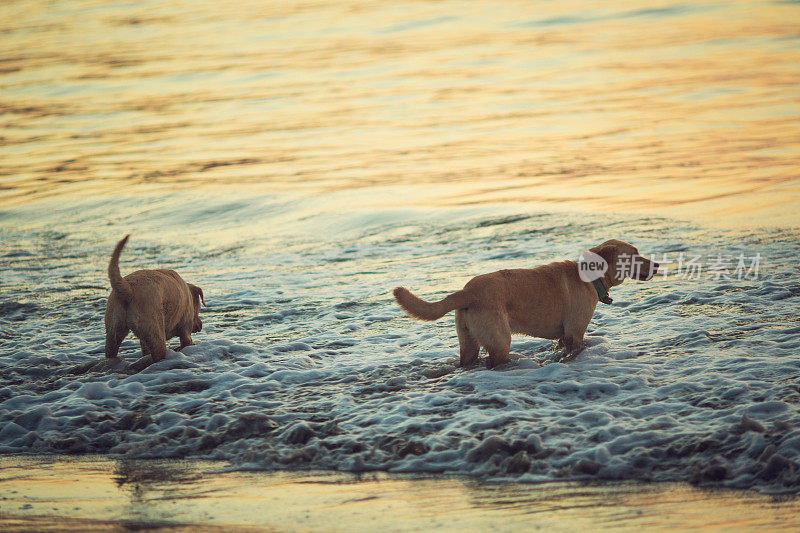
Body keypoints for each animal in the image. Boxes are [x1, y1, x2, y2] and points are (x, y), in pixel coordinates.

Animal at [104, 235, 205, 368]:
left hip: (113, 331)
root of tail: (129, 288)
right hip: (155, 330)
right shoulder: (185, 330)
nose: (201, 325)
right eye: (199, 309)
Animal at [390, 240, 660, 368]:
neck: (590, 277)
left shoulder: (563, 337)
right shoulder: (575, 334)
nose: (657, 265)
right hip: (500, 340)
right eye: (635, 254)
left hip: (468, 343)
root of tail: (467, 292)